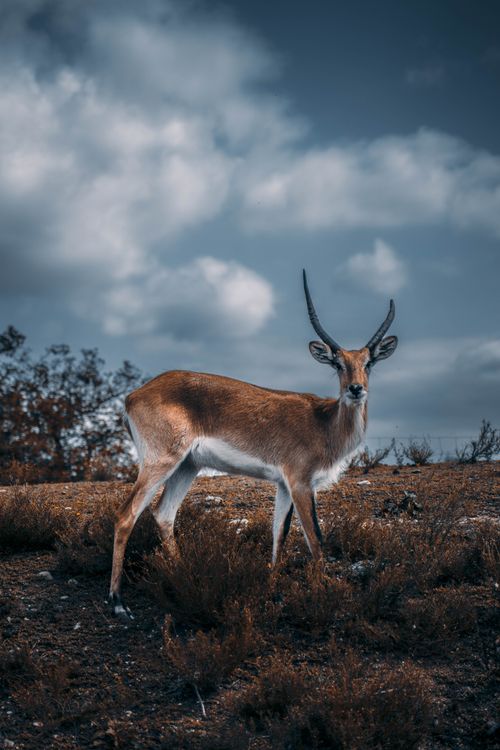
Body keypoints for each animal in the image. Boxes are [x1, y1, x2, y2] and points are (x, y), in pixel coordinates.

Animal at [109, 270, 398, 618]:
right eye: (337, 363)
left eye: (369, 363)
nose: (356, 389)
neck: (325, 423)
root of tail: (133, 395)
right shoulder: (300, 482)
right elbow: (315, 538)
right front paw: (325, 596)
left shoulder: (284, 485)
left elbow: (279, 536)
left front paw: (272, 592)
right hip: (161, 462)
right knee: (126, 515)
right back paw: (118, 603)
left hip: (187, 466)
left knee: (164, 514)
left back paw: (183, 578)